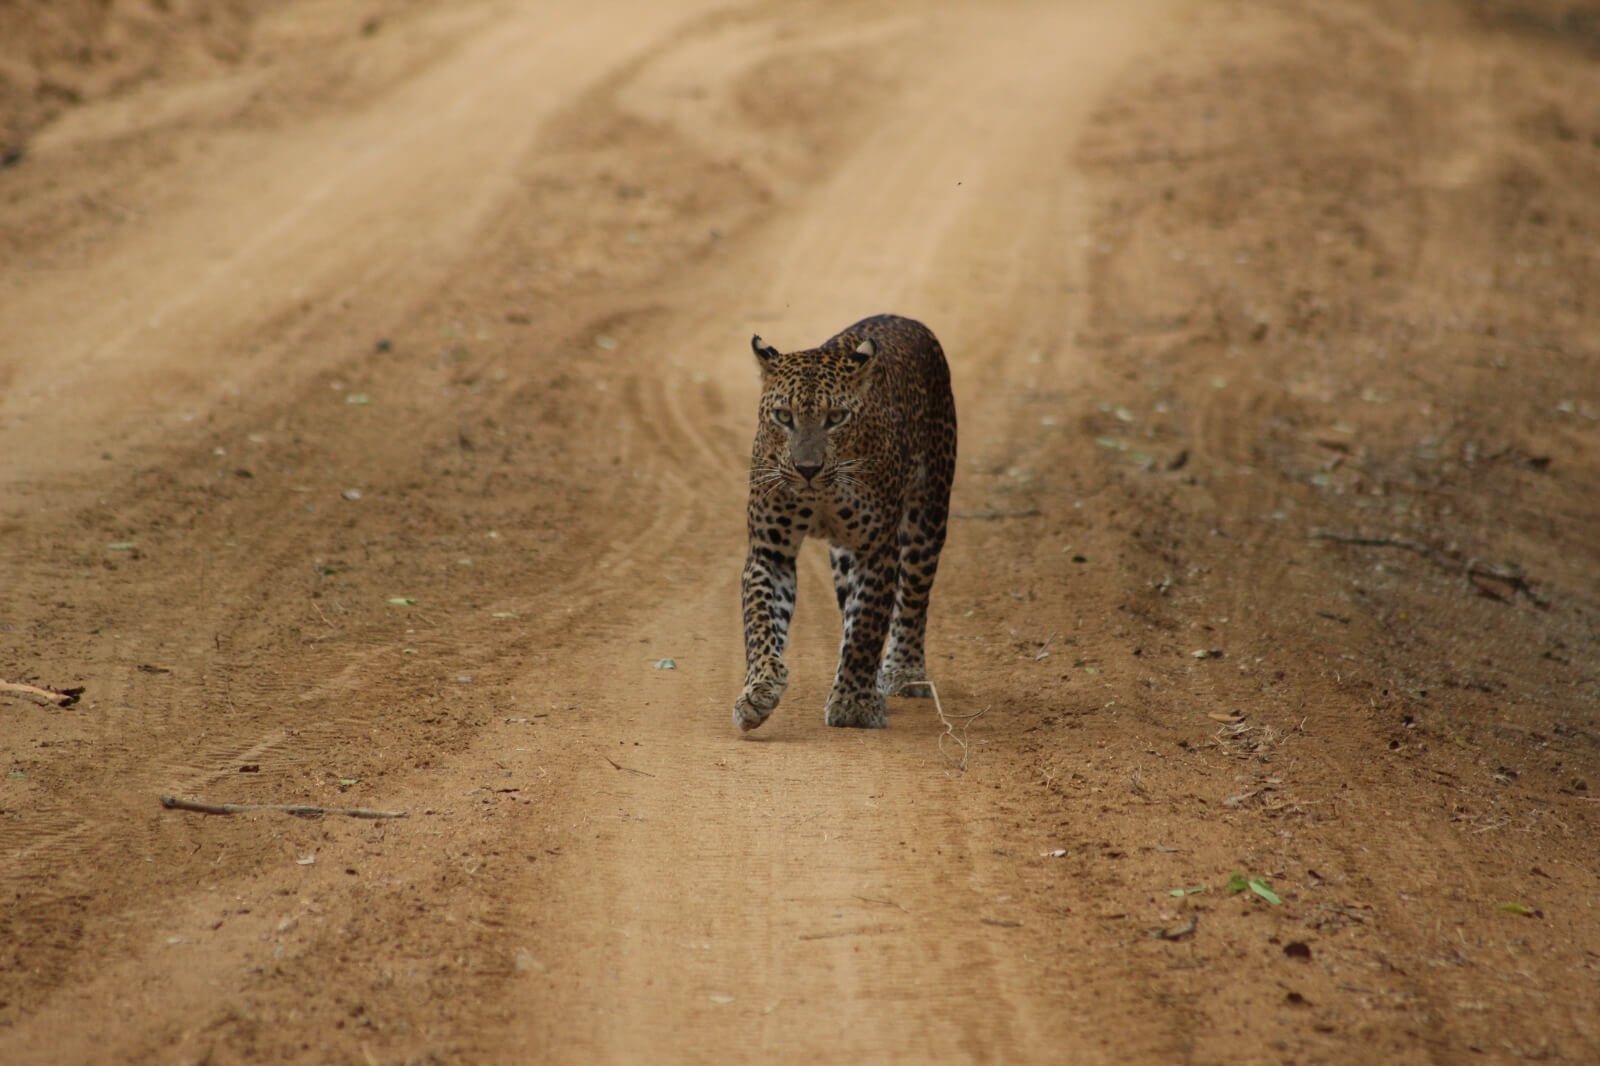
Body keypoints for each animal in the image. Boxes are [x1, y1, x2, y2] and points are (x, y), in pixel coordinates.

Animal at [733, 314, 957, 732]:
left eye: (835, 418)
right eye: (783, 417)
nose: (807, 469)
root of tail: (901, 318)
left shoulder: (877, 548)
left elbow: (867, 625)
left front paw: (853, 704)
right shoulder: (770, 552)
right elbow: (761, 622)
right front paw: (759, 690)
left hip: (928, 515)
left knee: (912, 599)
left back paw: (903, 671)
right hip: (842, 556)